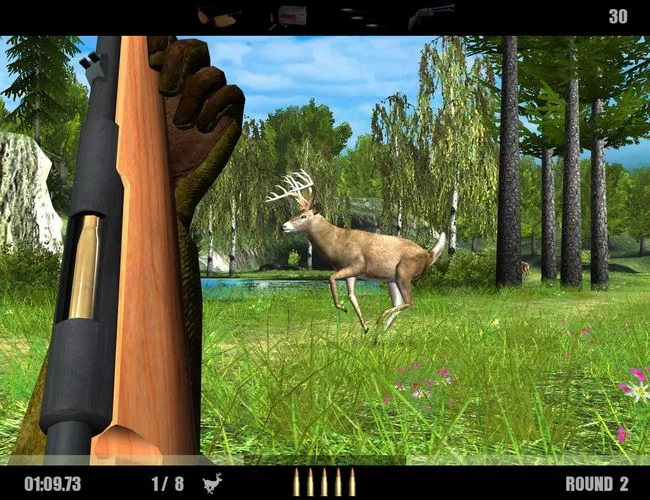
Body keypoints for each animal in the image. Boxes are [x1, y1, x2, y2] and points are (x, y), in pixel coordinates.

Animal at [266, 170, 446, 344]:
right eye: (296, 212)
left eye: (303, 216)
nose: (283, 226)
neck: (337, 242)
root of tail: (429, 255)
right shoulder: (350, 271)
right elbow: (351, 295)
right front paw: (364, 327)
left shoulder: (357, 264)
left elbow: (331, 278)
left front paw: (343, 308)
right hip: (392, 278)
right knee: (400, 302)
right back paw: (378, 335)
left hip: (404, 272)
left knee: (409, 302)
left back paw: (380, 319)